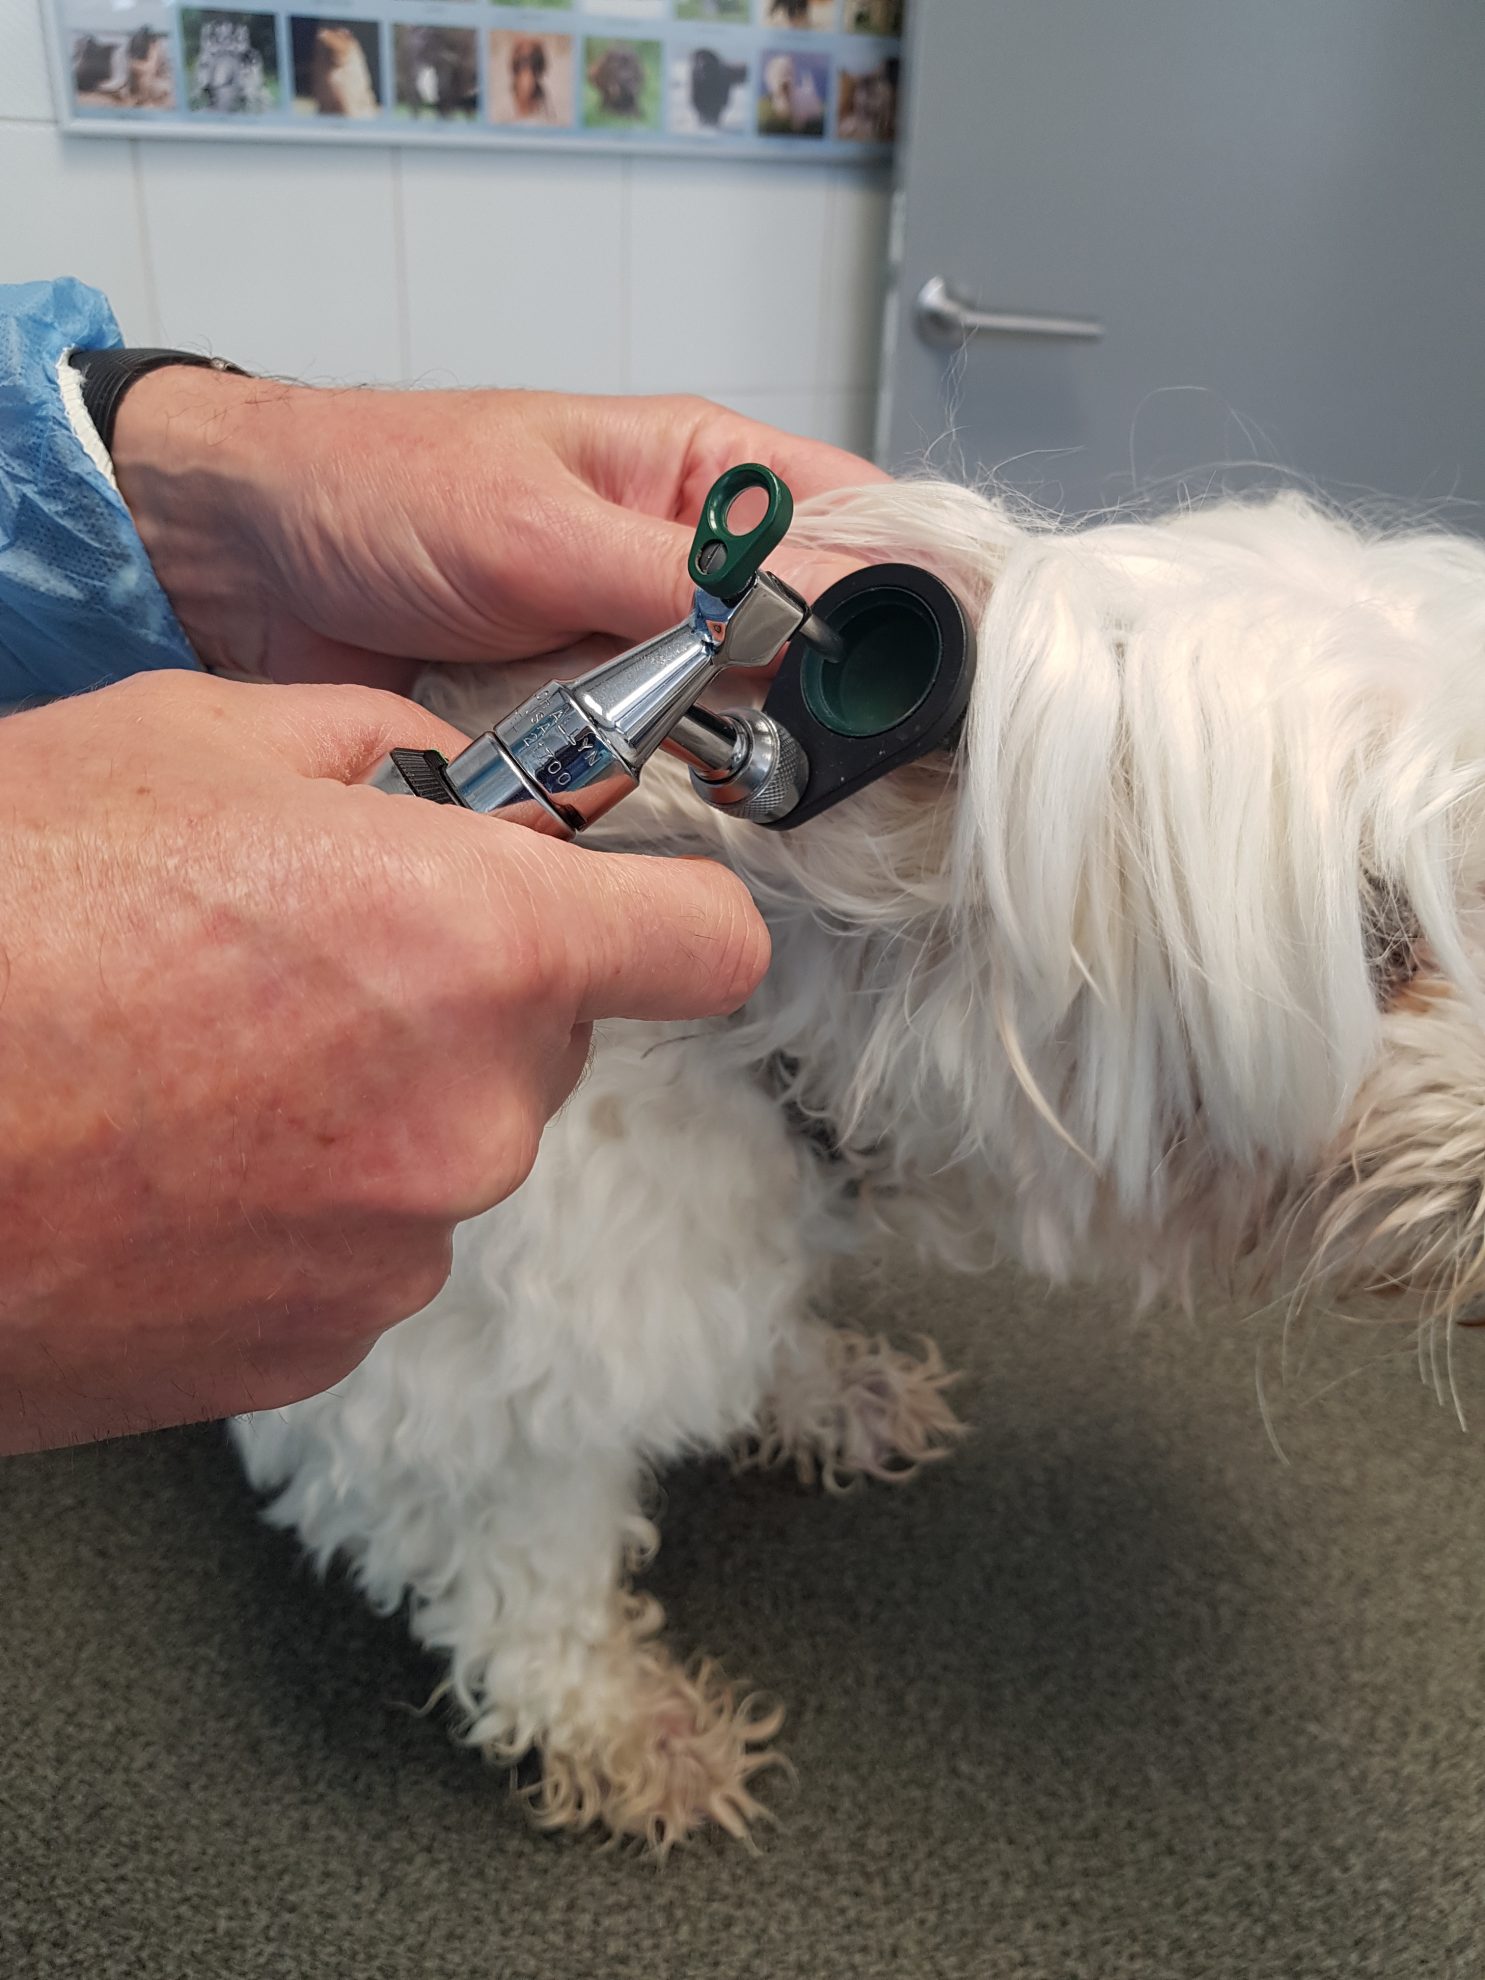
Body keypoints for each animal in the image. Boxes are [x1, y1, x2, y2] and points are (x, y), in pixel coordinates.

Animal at [226, 479, 1485, 1853]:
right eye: (1380, 930)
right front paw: (613, 1719)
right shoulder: (426, 1378)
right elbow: (521, 1563)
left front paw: (823, 1390)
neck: (767, 1032)